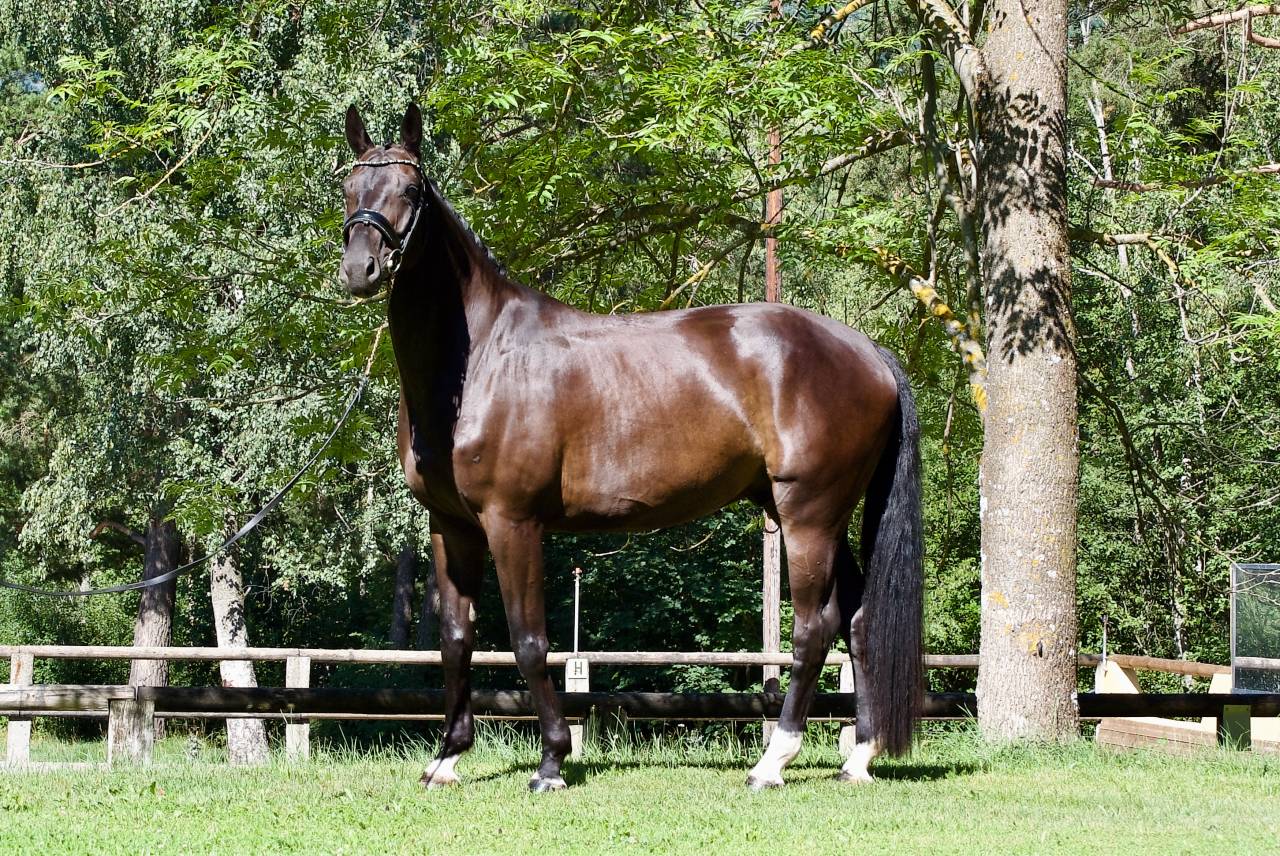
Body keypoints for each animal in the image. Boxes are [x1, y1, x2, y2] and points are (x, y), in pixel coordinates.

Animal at [338, 104, 923, 792]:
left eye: (410, 190)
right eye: (349, 186)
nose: (360, 269)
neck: (482, 357)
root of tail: (868, 352)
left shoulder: (514, 521)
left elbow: (529, 641)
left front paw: (552, 762)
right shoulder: (451, 523)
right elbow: (456, 637)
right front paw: (447, 758)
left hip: (810, 516)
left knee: (813, 629)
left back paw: (772, 762)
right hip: (816, 515)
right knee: (857, 620)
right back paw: (857, 757)